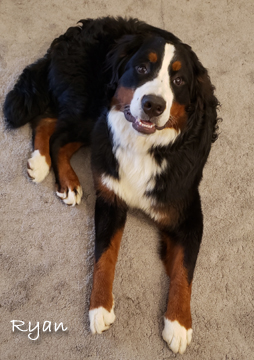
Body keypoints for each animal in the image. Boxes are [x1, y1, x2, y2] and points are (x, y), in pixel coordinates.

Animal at [2, 16, 219, 354]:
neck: (145, 147)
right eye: (142, 68)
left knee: (54, 129)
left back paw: (55, 171)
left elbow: (184, 271)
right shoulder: (111, 201)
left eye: (179, 81)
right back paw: (47, 167)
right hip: (89, 107)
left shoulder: (188, 215)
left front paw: (179, 324)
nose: (153, 104)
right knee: (50, 127)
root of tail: (73, 33)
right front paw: (99, 308)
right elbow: (104, 257)